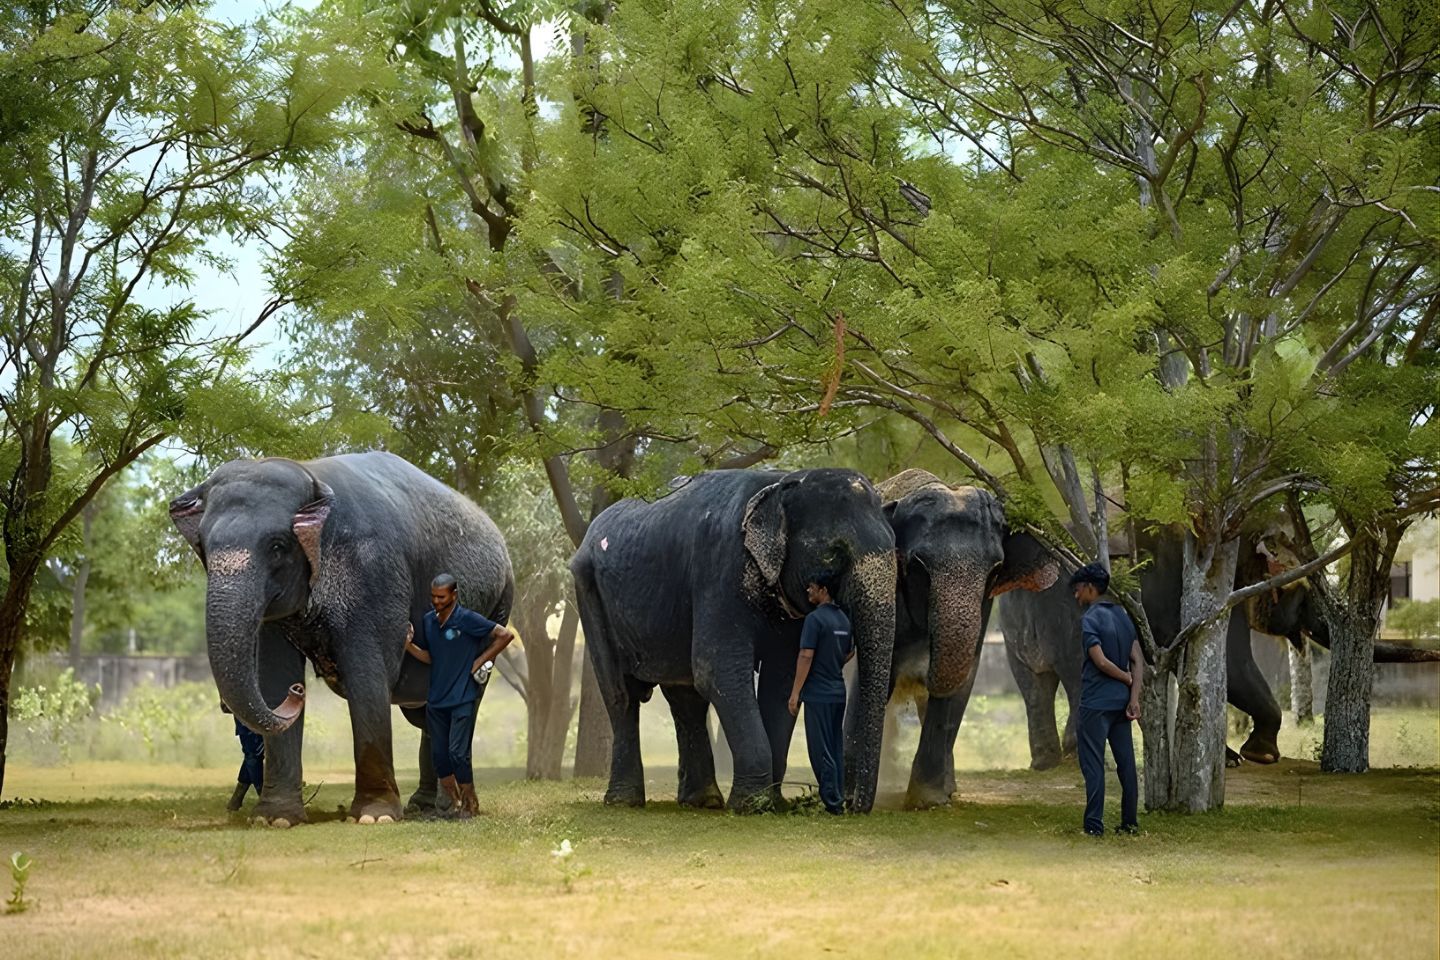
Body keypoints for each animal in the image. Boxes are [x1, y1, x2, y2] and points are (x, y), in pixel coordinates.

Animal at [169, 452, 513, 825]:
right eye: (203, 547)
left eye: (277, 546)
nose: (299, 692)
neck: (311, 476)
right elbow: (274, 674)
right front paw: (274, 819)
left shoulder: (373, 571)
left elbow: (367, 675)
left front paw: (374, 818)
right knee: (424, 713)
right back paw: (425, 805)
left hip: (500, 600)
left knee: (461, 703)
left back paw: (449, 808)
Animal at [570, 468, 897, 813]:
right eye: (834, 554)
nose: (851, 805)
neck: (782, 483)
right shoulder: (719, 570)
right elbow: (718, 671)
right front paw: (751, 805)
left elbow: (783, 679)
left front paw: (773, 803)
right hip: (588, 592)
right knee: (621, 695)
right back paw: (624, 802)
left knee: (686, 698)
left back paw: (702, 802)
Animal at [868, 469, 1059, 809]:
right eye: (917, 565)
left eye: (996, 569)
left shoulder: (984, 605)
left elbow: (958, 685)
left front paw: (928, 800)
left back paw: (948, 789)